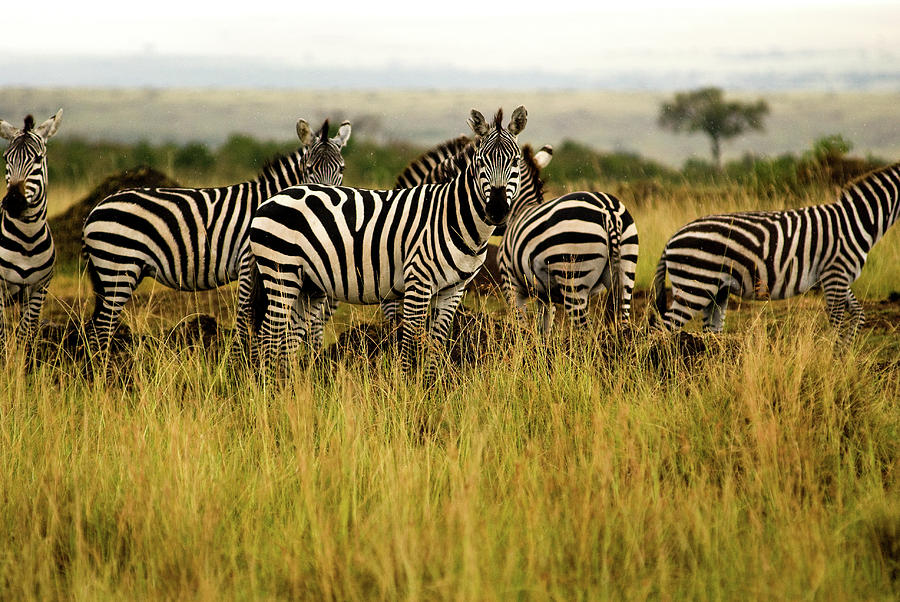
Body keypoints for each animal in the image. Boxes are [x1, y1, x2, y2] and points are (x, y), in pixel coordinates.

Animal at [0, 110, 62, 350]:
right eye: (6, 158)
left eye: (37, 158)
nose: (14, 202)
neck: (27, 239)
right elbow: (1, 338)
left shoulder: (38, 290)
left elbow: (24, 337)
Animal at [83, 118, 352, 350]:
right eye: (309, 168)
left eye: (341, 168)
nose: (325, 203)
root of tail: (95, 209)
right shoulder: (249, 261)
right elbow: (246, 316)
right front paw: (242, 361)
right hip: (118, 267)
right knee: (101, 329)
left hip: (122, 272)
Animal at [246, 105, 528, 372]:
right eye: (481, 162)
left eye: (516, 161)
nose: (497, 211)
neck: (454, 216)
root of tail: (274, 197)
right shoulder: (418, 282)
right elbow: (409, 343)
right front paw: (408, 387)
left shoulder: (454, 290)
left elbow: (436, 345)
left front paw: (431, 386)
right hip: (281, 272)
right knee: (269, 335)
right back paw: (268, 386)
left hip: (308, 284)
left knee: (289, 338)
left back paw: (289, 387)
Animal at [652, 162, 900, 336]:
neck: (857, 219)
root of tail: (671, 239)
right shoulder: (835, 273)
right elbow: (838, 323)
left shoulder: (837, 277)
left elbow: (858, 315)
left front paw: (846, 357)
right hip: (694, 287)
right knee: (659, 330)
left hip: (715, 291)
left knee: (709, 333)